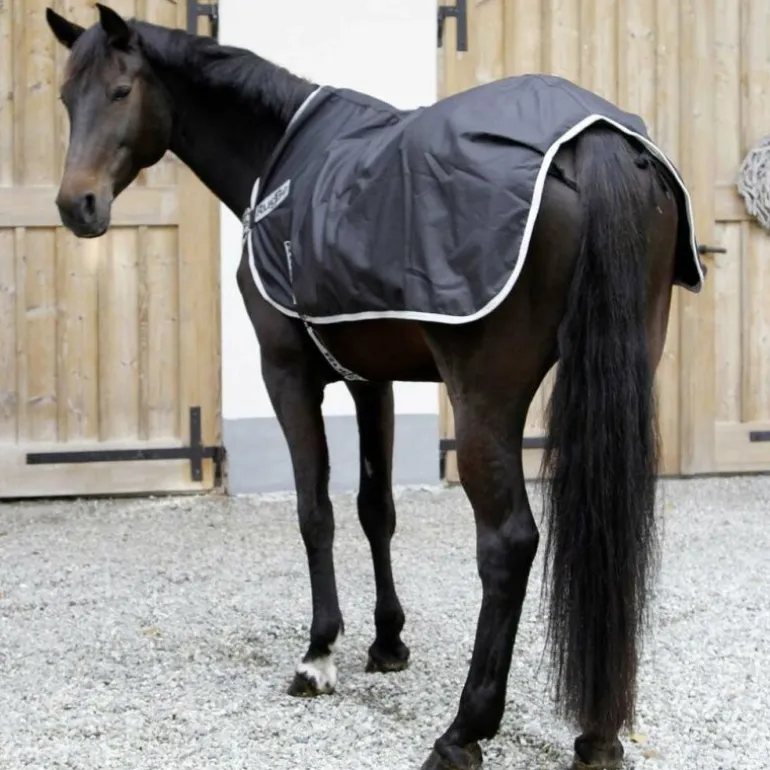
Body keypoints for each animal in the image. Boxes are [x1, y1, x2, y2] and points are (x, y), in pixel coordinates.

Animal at [45, 5, 705, 769]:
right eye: (66, 98)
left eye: (121, 91)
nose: (76, 205)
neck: (281, 162)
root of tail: (592, 140)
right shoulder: (375, 383)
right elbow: (374, 509)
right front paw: (388, 640)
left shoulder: (286, 373)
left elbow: (315, 510)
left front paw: (317, 654)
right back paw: (598, 735)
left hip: (486, 400)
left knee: (508, 543)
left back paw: (463, 731)